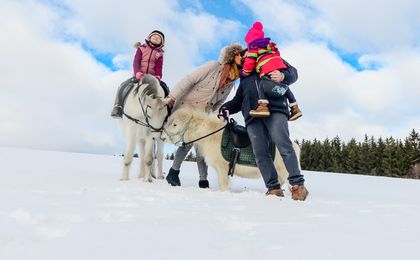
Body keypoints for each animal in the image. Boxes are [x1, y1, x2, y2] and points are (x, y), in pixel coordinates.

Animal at [159, 107, 300, 191]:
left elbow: (223, 185)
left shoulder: (223, 167)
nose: (162, 137)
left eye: (175, 124)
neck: (210, 134)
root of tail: (294, 146)